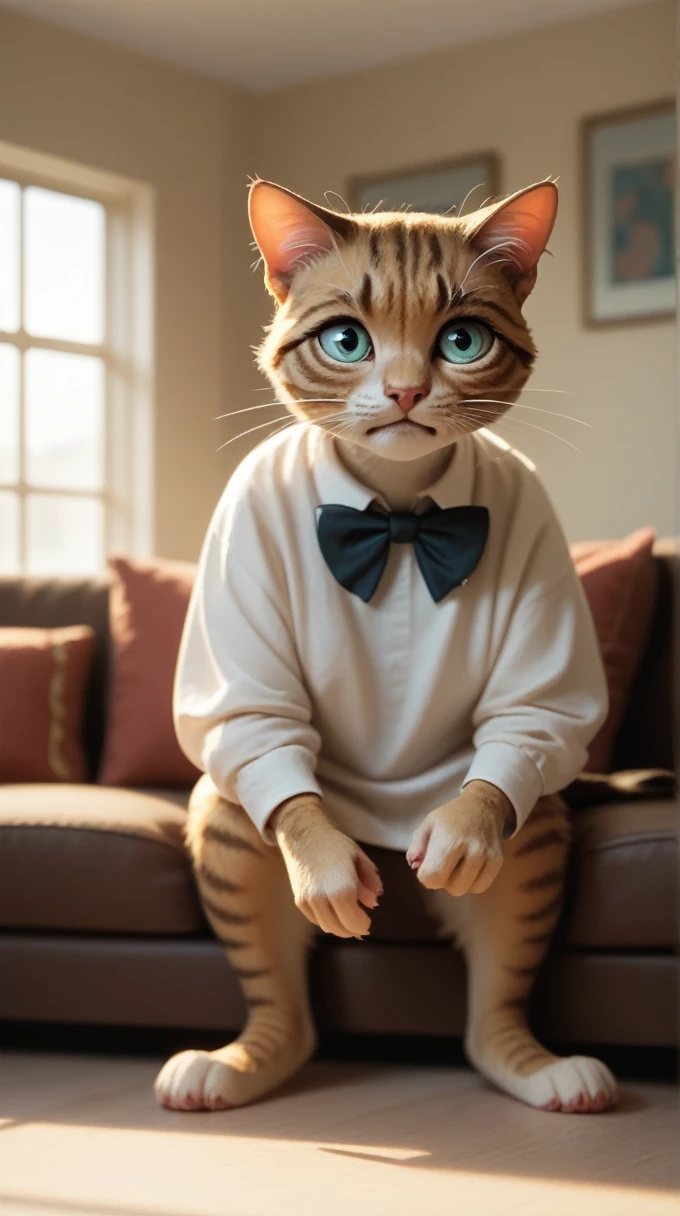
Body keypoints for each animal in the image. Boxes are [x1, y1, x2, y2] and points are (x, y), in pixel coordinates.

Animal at [155, 176, 617, 1113]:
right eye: (347, 340)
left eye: (463, 340)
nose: (404, 392)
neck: (398, 517)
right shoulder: (241, 534)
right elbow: (254, 718)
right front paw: (325, 867)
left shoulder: (535, 529)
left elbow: (533, 711)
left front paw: (469, 833)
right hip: (232, 818)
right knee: (262, 898)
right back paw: (247, 1060)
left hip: (531, 842)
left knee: (499, 967)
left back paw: (533, 1063)